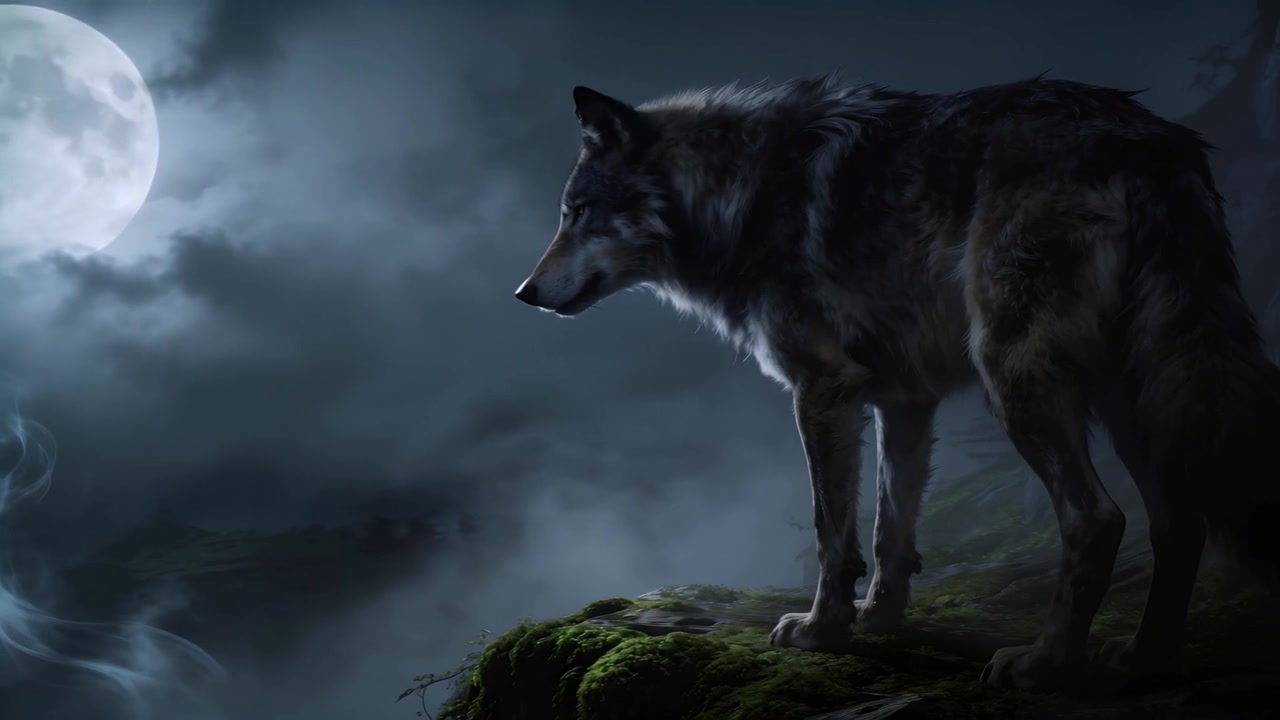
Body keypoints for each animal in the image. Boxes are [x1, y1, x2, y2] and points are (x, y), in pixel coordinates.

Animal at [513, 75, 1280, 690]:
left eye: (576, 214)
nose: (524, 293)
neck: (742, 197)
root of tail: (1154, 140)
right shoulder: (904, 400)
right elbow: (890, 529)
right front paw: (878, 619)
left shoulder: (822, 388)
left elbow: (831, 530)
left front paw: (821, 631)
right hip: (1134, 394)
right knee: (1178, 519)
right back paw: (1145, 659)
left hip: (1018, 379)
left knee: (1097, 519)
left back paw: (1044, 664)